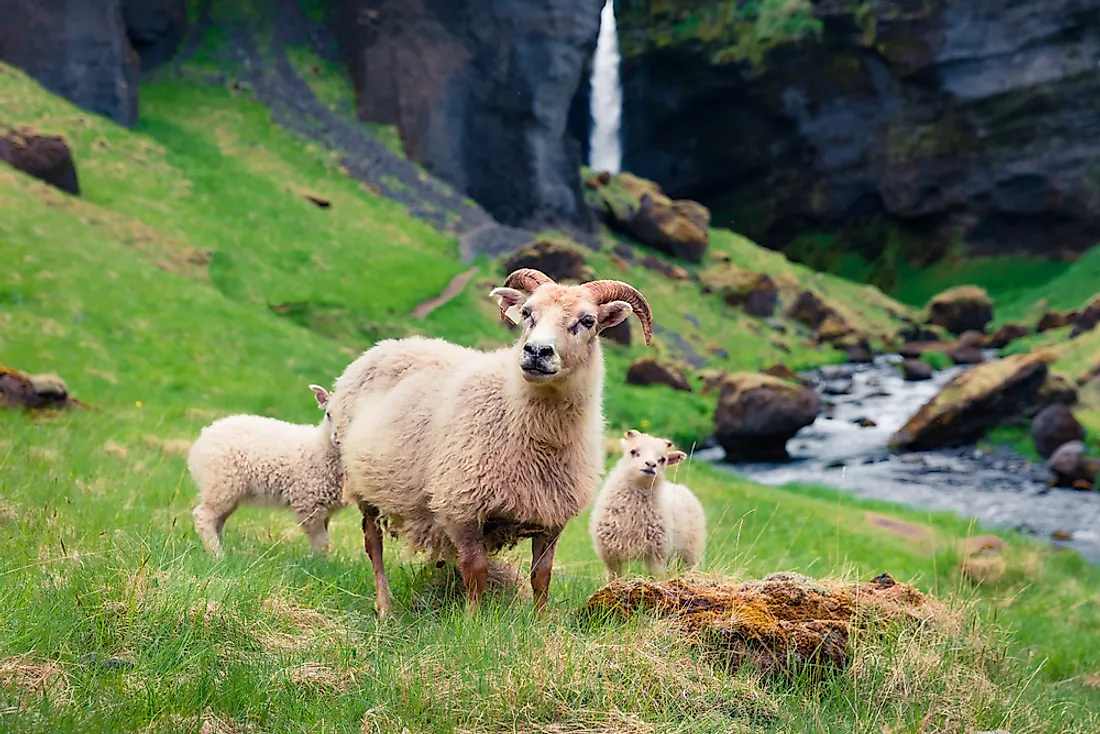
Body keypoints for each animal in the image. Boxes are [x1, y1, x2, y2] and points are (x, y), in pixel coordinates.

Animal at [189, 385, 343, 556]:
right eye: (328, 414)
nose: (337, 439)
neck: (320, 447)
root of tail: (205, 434)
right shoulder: (307, 503)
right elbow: (321, 542)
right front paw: (318, 561)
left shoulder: (324, 509)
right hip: (221, 485)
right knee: (203, 516)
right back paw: (218, 555)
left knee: (217, 520)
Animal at [594, 431, 704, 581]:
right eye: (633, 451)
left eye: (662, 459)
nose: (651, 464)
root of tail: (680, 487)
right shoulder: (610, 556)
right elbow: (614, 578)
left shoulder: (657, 556)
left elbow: (657, 578)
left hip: (692, 549)